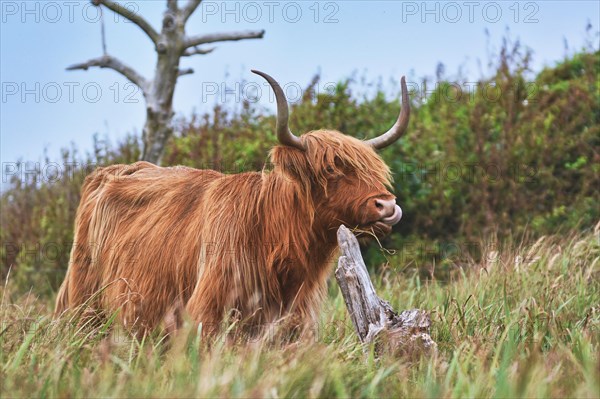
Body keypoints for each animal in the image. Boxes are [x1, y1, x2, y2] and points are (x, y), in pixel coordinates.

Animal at [54, 70, 410, 336]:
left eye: (375, 170)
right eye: (331, 170)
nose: (387, 206)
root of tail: (110, 171)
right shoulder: (208, 312)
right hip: (83, 304)